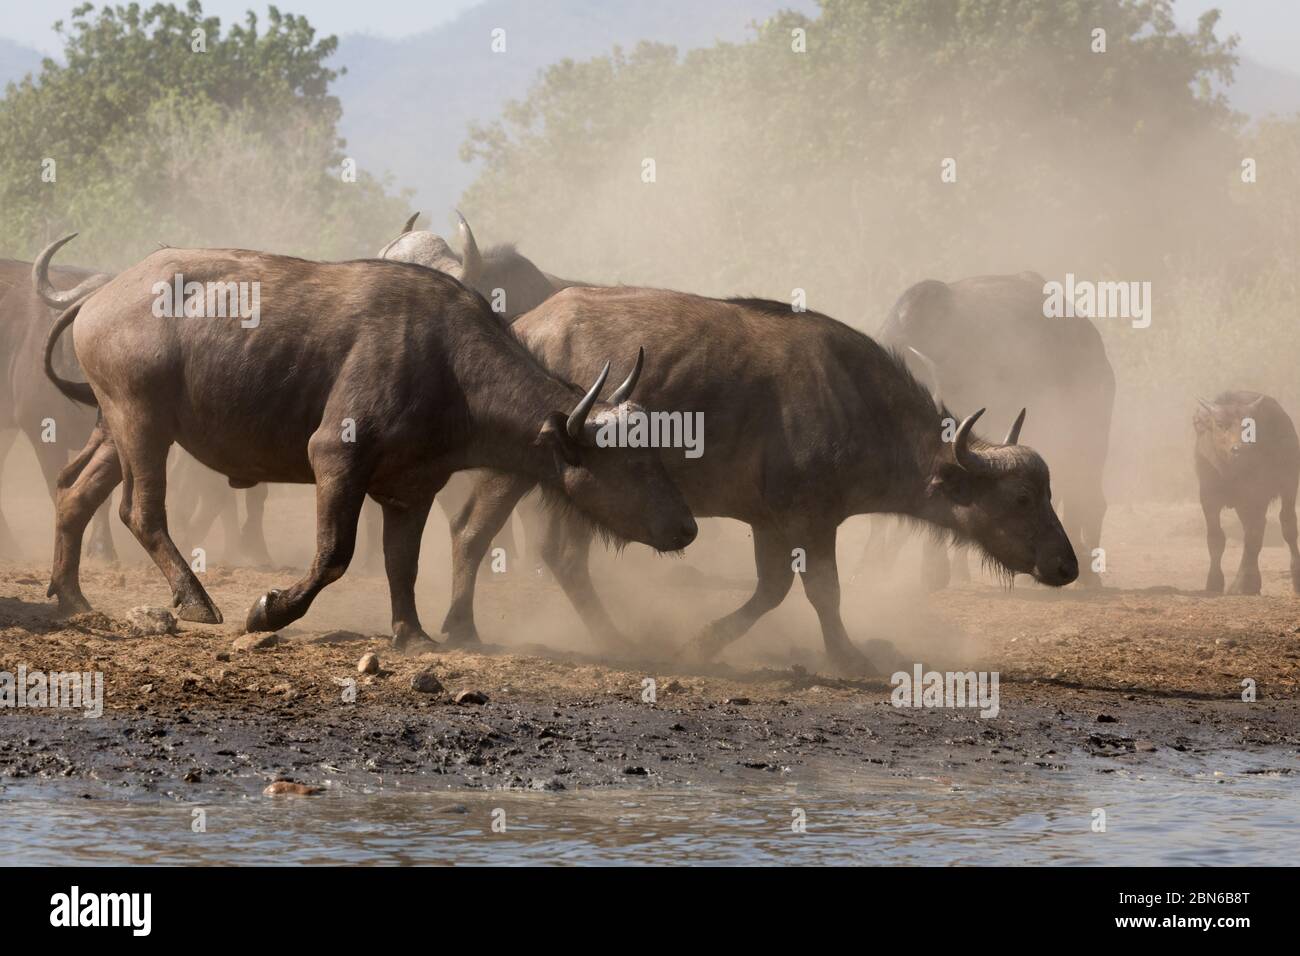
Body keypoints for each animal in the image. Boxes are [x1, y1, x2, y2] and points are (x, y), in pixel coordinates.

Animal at [40, 235, 696, 647]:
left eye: (655, 452)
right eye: (632, 463)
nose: (686, 527)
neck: (447, 365)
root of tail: (101, 294)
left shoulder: (412, 489)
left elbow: (401, 562)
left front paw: (413, 634)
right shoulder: (335, 458)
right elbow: (335, 554)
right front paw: (269, 611)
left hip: (115, 426)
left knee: (75, 492)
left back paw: (71, 598)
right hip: (141, 421)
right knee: (139, 510)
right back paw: (197, 602)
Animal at [436, 287, 1076, 676]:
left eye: (1047, 494)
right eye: (1022, 497)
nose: (1067, 565)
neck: (851, 402)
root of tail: (527, 325)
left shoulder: (771, 522)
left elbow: (772, 590)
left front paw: (699, 643)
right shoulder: (809, 520)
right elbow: (822, 591)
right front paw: (849, 658)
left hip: (590, 494)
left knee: (563, 557)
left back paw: (617, 639)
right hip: (510, 469)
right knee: (473, 531)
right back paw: (462, 626)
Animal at [1196, 392, 1300, 595]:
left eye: (1249, 425)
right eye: (1220, 424)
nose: (1239, 449)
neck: (1231, 471)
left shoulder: (1256, 496)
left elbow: (1253, 537)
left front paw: (1245, 584)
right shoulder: (1208, 498)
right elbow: (1215, 538)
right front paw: (1214, 583)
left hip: (1289, 485)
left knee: (1287, 526)